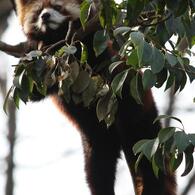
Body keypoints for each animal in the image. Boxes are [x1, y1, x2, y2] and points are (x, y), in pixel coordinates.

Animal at [12, 0, 177, 195]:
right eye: (38, 12)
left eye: (57, 7)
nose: (46, 16)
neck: (57, 37)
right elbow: (36, 92)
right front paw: (31, 52)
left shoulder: (95, 44)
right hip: (96, 136)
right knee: (98, 167)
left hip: (142, 124)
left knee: (148, 159)